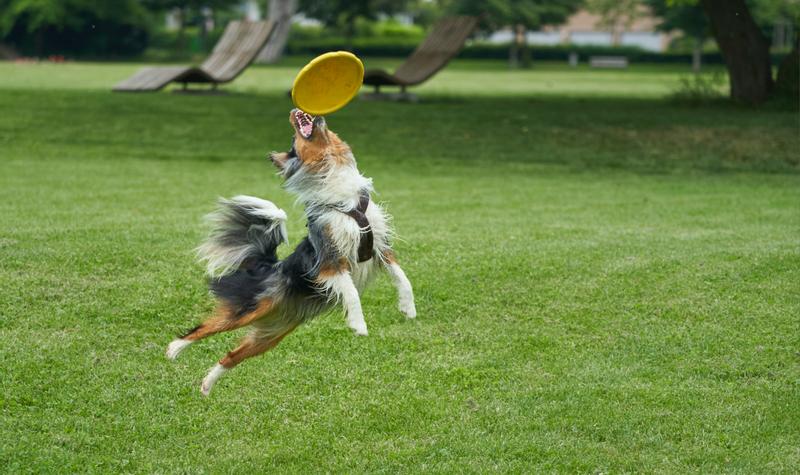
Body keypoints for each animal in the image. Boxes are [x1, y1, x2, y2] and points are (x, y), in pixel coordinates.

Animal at [165, 109, 416, 396]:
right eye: (293, 141)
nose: (307, 113)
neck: (344, 197)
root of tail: (268, 265)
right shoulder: (330, 261)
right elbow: (351, 292)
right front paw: (358, 325)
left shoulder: (381, 248)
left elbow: (403, 277)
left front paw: (408, 308)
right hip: (250, 307)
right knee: (206, 327)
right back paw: (174, 349)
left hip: (271, 334)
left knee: (231, 355)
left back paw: (207, 384)